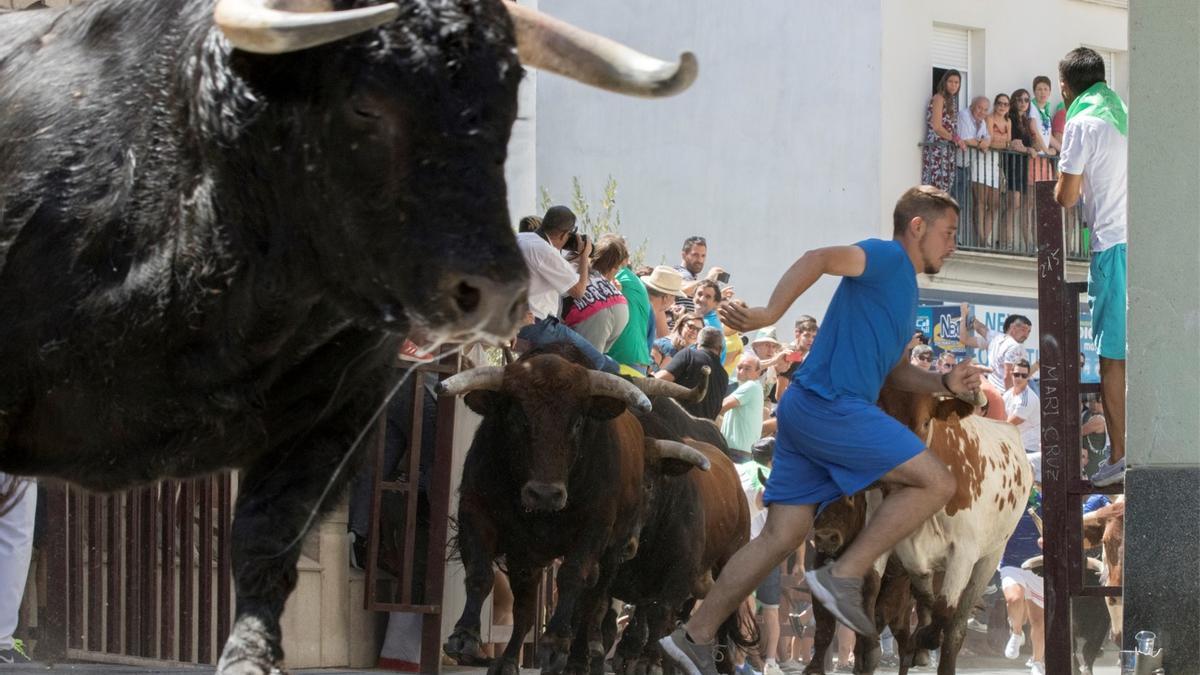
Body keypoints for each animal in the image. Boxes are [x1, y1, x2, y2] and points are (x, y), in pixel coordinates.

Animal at [0, 2, 696, 667]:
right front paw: (464, 637)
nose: (489, 282)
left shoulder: (330, 424)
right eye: (365, 105)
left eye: (502, 115)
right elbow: (475, 569)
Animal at [873, 389, 1032, 672]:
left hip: (989, 559)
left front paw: (923, 639)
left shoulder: (963, 555)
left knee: (955, 629)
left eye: (926, 422)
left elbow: (944, 613)